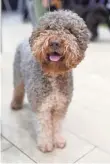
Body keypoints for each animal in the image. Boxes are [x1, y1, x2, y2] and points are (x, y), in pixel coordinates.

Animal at [10, 9, 89, 152]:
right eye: (48, 28)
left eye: (69, 30)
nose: (54, 42)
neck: (53, 74)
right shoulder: (42, 106)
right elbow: (44, 127)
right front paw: (46, 144)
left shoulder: (61, 106)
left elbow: (57, 125)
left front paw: (58, 140)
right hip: (17, 75)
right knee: (17, 90)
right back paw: (16, 104)